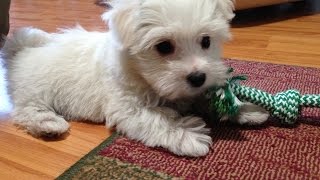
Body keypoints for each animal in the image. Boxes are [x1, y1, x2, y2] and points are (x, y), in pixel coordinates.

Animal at [1, 0, 268, 156]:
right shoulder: (126, 107)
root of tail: (20, 50)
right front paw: (188, 135)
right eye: (163, 46)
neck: (140, 72)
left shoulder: (189, 92)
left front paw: (247, 109)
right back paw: (48, 124)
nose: (198, 77)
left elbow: (206, 99)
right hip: (33, 91)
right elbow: (156, 120)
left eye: (206, 41)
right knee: (26, 111)